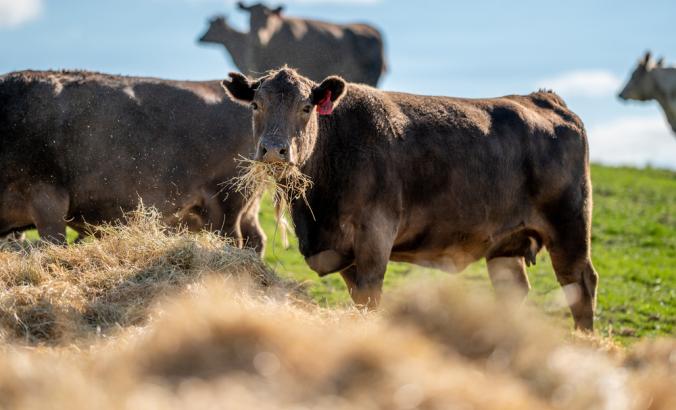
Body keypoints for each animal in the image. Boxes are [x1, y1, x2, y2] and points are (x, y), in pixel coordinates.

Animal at [224, 67, 600, 330]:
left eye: (306, 107)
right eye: (256, 105)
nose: (274, 149)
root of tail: (543, 98)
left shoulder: (375, 233)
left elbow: (370, 296)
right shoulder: (340, 250)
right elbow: (358, 298)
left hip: (569, 225)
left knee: (580, 284)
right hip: (506, 246)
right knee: (515, 291)